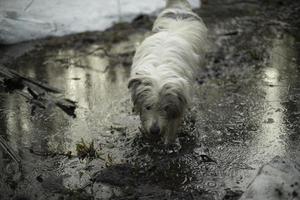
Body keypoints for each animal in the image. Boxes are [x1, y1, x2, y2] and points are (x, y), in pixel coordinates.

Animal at [127, 0, 207, 145]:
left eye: (166, 108)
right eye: (148, 107)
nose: (154, 130)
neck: (159, 71)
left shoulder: (179, 101)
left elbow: (173, 124)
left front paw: (169, 142)